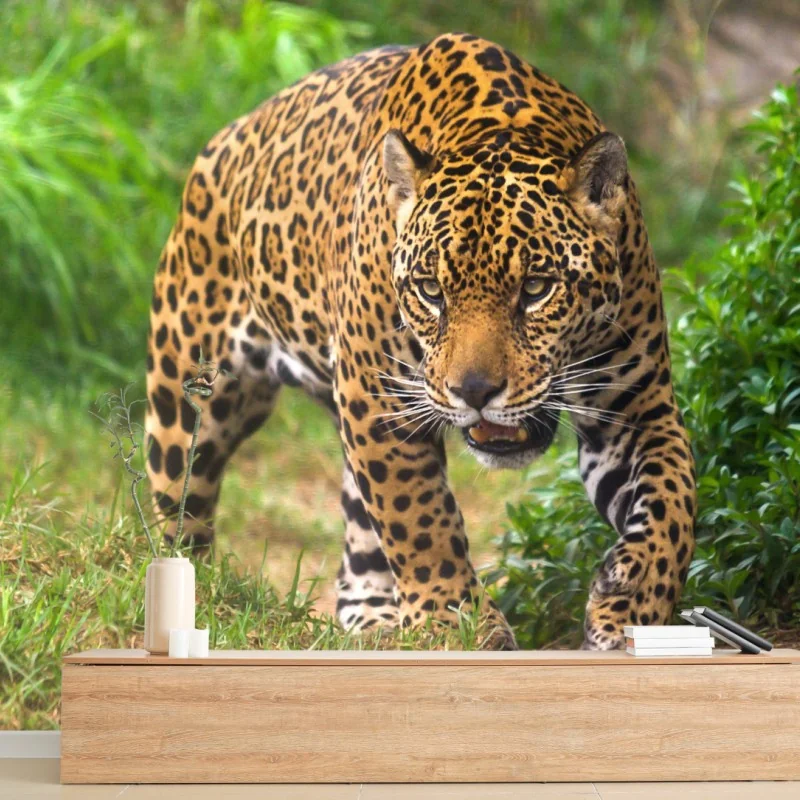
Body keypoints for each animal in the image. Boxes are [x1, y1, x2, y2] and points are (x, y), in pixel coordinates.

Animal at [145, 32, 697, 650]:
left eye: (536, 288)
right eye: (432, 290)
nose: (475, 391)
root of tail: (228, 137)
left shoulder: (636, 408)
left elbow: (674, 502)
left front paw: (629, 605)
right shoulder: (377, 398)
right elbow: (418, 517)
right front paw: (454, 623)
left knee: (360, 548)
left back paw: (377, 623)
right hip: (191, 400)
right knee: (179, 510)